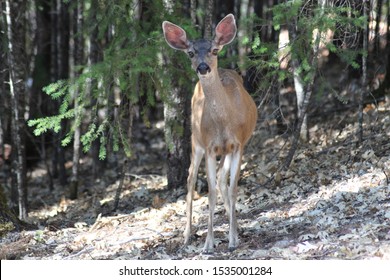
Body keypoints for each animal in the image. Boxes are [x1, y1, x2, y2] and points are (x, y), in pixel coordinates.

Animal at [163, 13, 258, 254]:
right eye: (190, 52)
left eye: (215, 50)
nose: (203, 67)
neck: (224, 122)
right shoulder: (208, 146)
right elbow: (211, 194)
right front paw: (208, 244)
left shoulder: (238, 144)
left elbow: (232, 188)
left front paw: (233, 239)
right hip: (195, 140)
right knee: (190, 179)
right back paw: (187, 234)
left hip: (225, 151)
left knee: (223, 180)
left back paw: (237, 228)